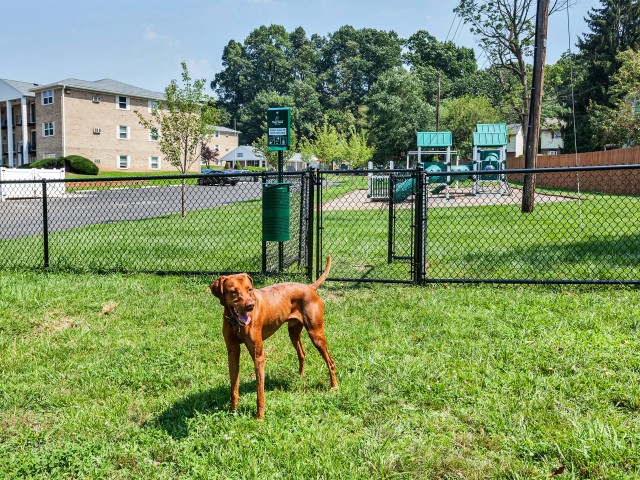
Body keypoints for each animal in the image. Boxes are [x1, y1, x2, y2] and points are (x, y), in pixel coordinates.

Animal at [211, 256, 340, 418]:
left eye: (249, 289)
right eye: (233, 291)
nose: (250, 306)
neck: (236, 323)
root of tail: (310, 287)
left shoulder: (258, 356)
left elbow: (260, 391)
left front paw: (259, 417)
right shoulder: (232, 352)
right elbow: (234, 386)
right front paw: (232, 412)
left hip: (316, 334)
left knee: (330, 361)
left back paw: (334, 387)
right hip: (293, 332)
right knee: (302, 353)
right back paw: (300, 376)